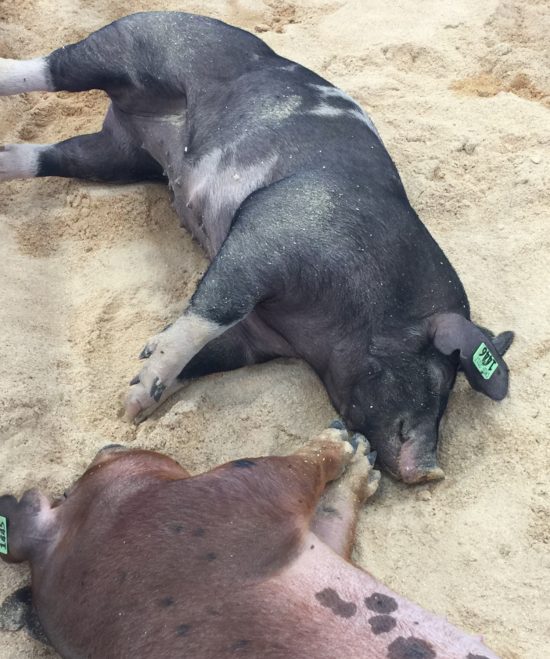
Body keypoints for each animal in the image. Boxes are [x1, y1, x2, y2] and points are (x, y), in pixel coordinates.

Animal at [0, 428, 500, 659]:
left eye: (66, 489)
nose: (107, 444)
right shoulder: (237, 498)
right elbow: (297, 467)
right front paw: (346, 443)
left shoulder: (316, 548)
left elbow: (333, 520)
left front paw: (363, 460)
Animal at [1, 11, 516, 484]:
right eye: (441, 379)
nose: (431, 472)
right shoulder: (274, 232)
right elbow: (210, 312)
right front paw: (140, 390)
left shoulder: (257, 337)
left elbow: (207, 354)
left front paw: (134, 400)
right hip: (135, 46)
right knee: (53, 66)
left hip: (118, 155)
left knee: (48, 155)